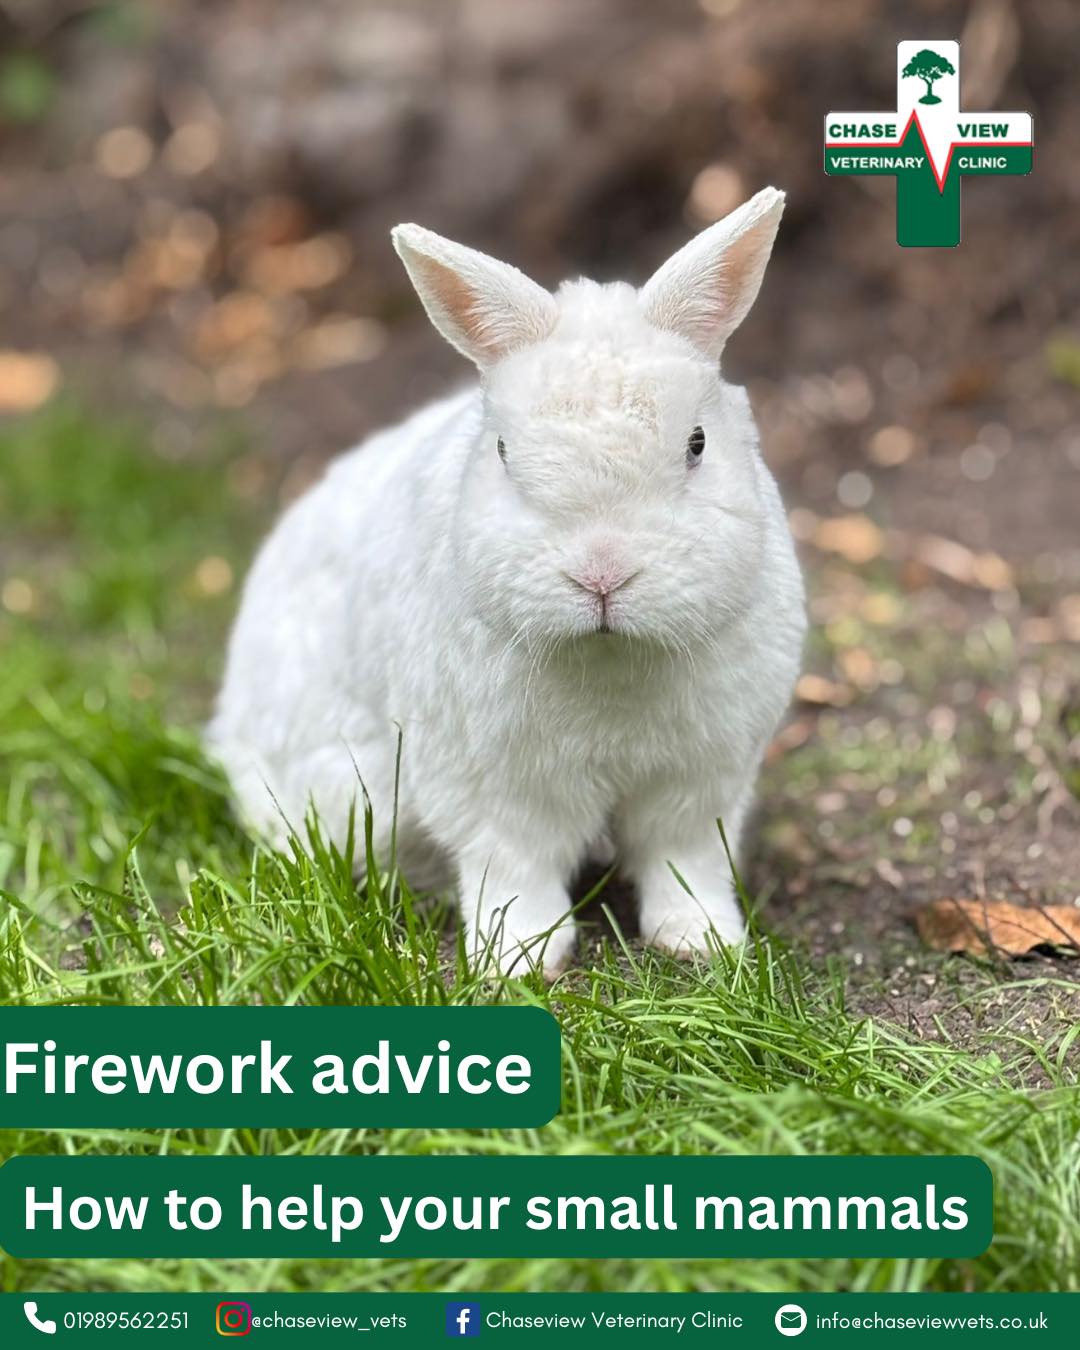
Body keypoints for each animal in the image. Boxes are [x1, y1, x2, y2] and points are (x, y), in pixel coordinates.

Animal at [208, 186, 806, 978]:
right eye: (501, 453)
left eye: (698, 445)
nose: (602, 573)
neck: (609, 656)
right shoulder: (493, 789)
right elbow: (516, 868)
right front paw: (519, 959)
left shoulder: (701, 782)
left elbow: (685, 862)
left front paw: (702, 941)